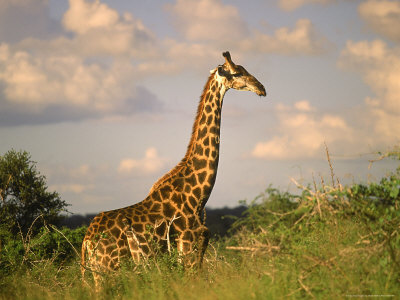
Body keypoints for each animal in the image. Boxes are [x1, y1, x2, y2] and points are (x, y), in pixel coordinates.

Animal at [80, 51, 266, 286]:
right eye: (237, 72)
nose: (261, 88)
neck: (198, 195)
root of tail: (87, 241)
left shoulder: (196, 250)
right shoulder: (188, 246)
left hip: (98, 271)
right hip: (108, 269)